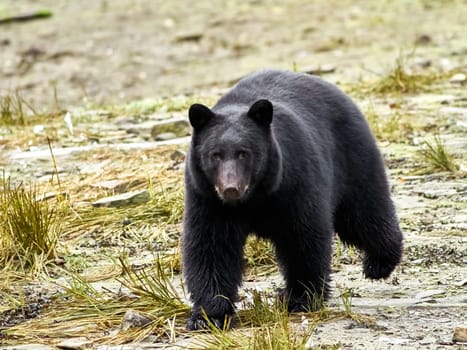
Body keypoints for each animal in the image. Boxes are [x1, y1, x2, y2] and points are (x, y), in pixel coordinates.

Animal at [181, 69, 404, 330]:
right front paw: (208, 315)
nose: (230, 189)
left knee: (364, 212)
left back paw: (379, 264)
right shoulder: (207, 199)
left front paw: (301, 298)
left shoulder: (294, 183)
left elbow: (302, 238)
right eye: (215, 154)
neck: (254, 199)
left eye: (244, 153)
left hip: (352, 157)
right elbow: (211, 248)